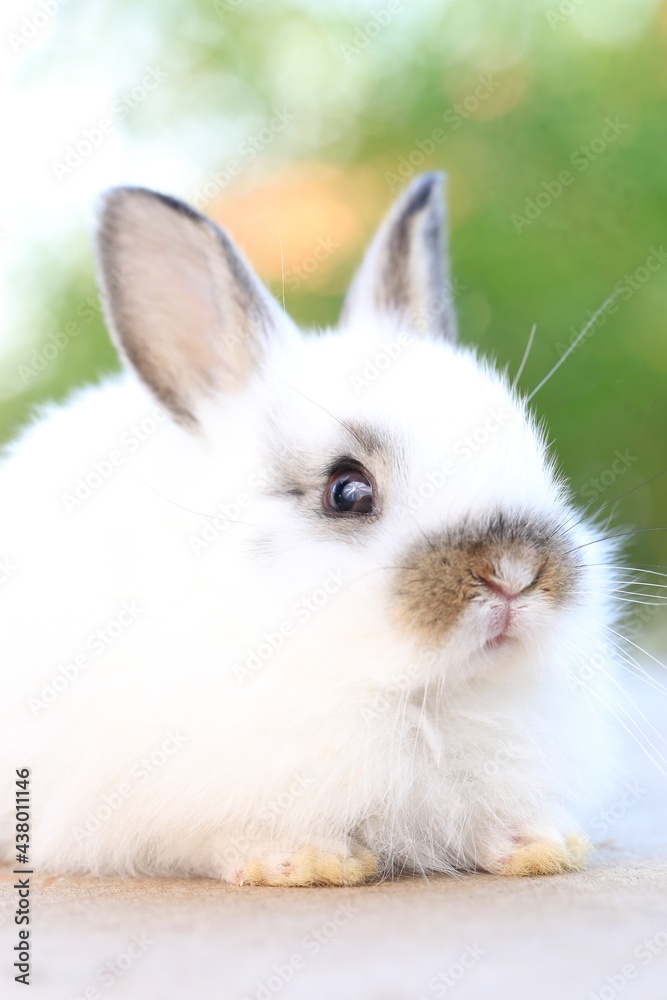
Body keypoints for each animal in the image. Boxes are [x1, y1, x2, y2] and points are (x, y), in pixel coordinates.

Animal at [0, 172, 620, 884]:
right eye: (346, 491)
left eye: (539, 458)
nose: (515, 573)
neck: (420, 698)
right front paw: (306, 863)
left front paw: (543, 848)